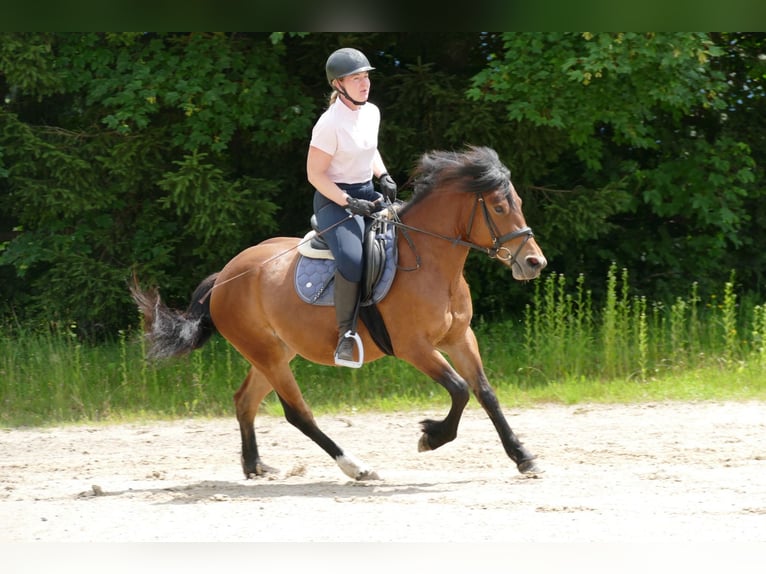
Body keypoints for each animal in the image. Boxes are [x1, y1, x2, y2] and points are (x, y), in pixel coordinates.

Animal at [134, 145, 552, 482]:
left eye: (517, 202)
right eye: (499, 207)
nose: (535, 263)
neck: (432, 263)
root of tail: (224, 276)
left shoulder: (460, 338)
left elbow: (486, 393)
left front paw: (523, 457)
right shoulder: (414, 347)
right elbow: (461, 389)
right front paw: (431, 437)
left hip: (274, 352)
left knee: (244, 401)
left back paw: (255, 466)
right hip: (269, 356)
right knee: (297, 413)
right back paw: (357, 467)